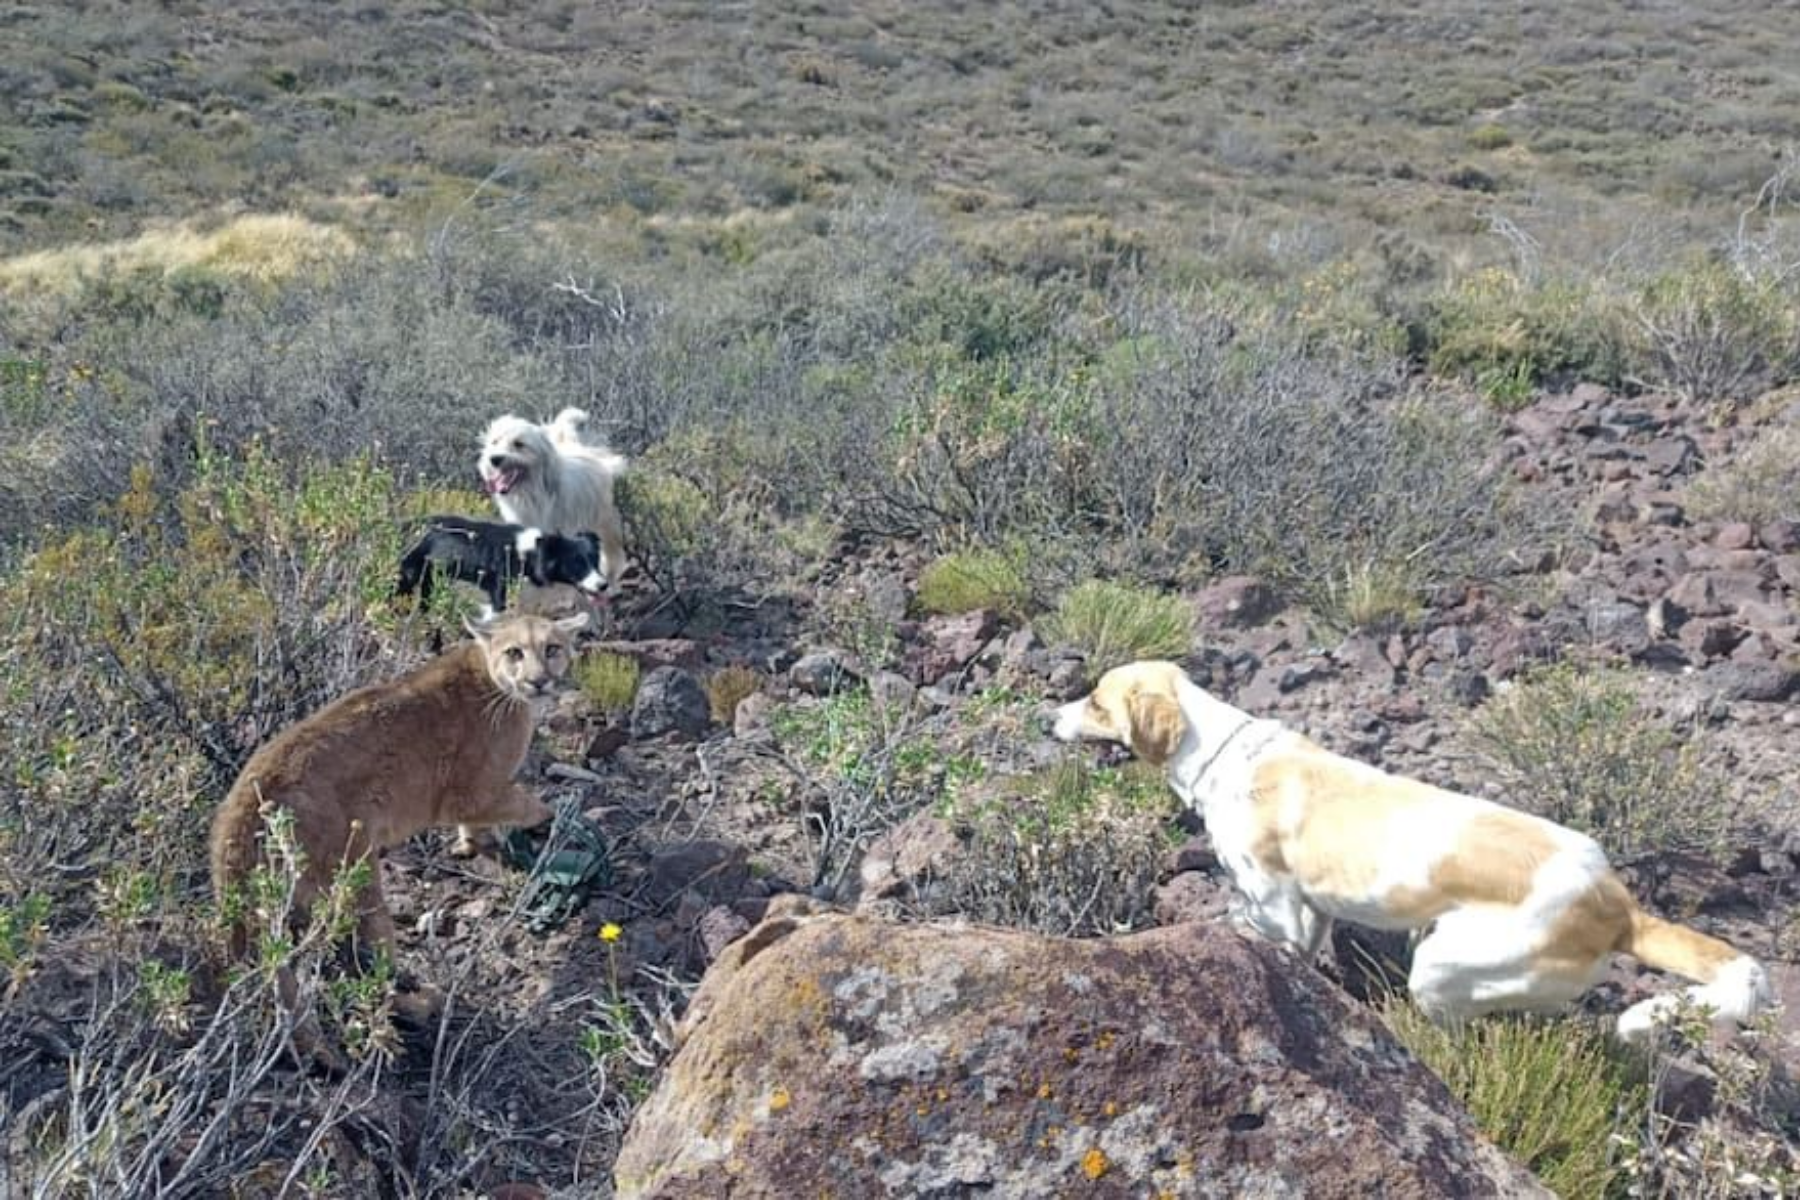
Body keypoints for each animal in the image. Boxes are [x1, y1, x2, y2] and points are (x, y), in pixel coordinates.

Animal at [397, 514, 608, 618]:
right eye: (577, 565)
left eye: (595, 562)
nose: (603, 585)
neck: (530, 555)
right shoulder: (498, 585)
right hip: (410, 572)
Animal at [475, 408, 630, 586]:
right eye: (495, 442)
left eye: (519, 444)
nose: (494, 459)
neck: (532, 493)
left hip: (606, 523)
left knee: (612, 553)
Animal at [1051, 658, 1771, 1043]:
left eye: (1095, 701)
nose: (1046, 718)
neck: (1223, 753)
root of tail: (1617, 903)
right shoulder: (1310, 912)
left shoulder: (1274, 902)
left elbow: (1253, 925)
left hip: (1444, 970)